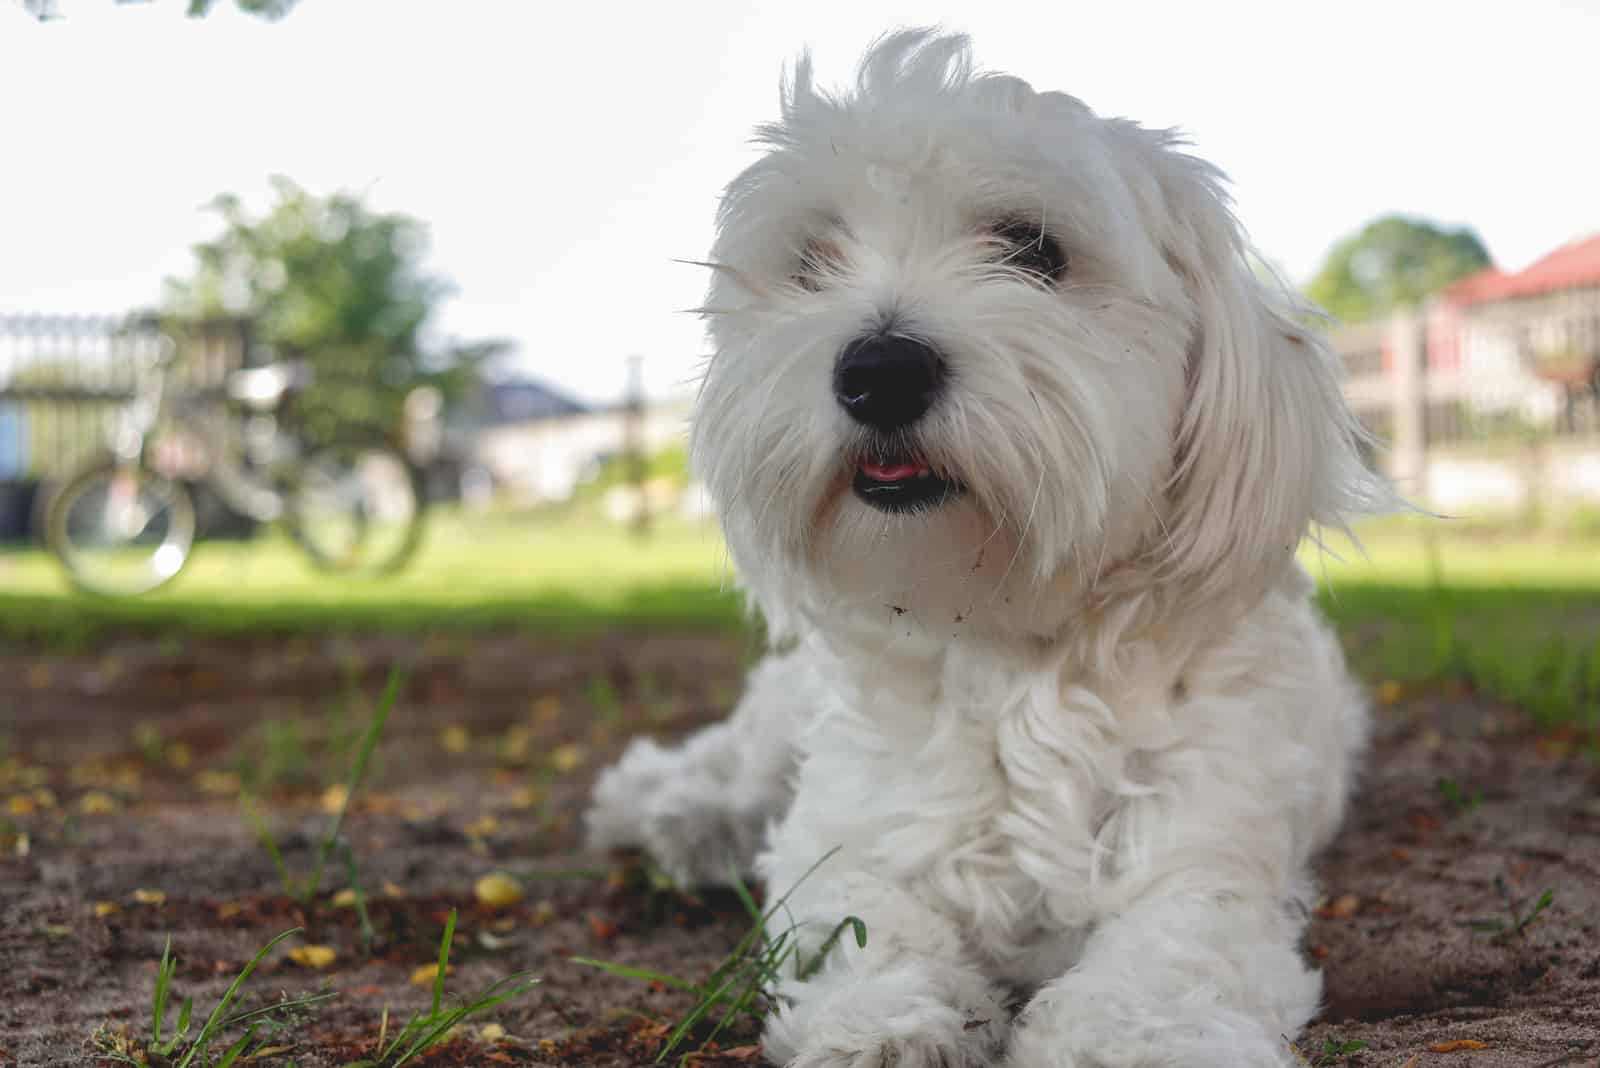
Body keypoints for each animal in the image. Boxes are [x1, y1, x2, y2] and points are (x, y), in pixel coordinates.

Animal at [588, 31, 1388, 1068]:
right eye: (813, 261)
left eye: (1033, 251)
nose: (878, 369)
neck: (1004, 639)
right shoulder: (850, 833)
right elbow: (863, 921)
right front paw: (885, 1019)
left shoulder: (1207, 851)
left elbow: (1174, 948)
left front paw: (1130, 1034)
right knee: (732, 764)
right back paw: (668, 807)